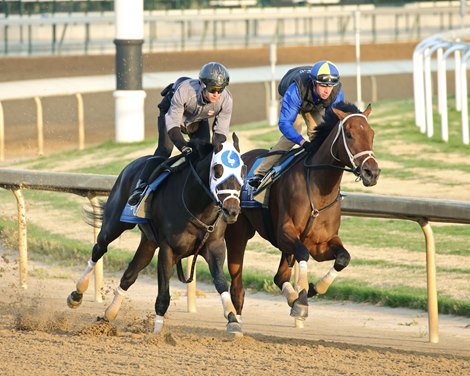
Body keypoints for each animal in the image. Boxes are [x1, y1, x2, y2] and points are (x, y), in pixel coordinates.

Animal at [68, 135, 248, 334]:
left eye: (243, 171)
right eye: (217, 171)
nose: (232, 211)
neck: (197, 208)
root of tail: (132, 165)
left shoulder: (214, 246)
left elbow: (220, 282)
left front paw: (233, 320)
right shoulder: (167, 249)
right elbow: (163, 294)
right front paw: (156, 333)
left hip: (148, 242)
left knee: (130, 274)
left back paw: (109, 314)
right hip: (114, 224)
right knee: (99, 249)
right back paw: (77, 294)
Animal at [225, 102, 382, 326]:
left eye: (371, 133)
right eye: (350, 134)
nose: (372, 172)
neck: (318, 190)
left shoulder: (321, 242)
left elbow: (343, 258)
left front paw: (314, 289)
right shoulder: (285, 233)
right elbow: (303, 254)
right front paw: (302, 300)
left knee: (280, 277)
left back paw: (292, 297)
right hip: (237, 233)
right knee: (237, 284)